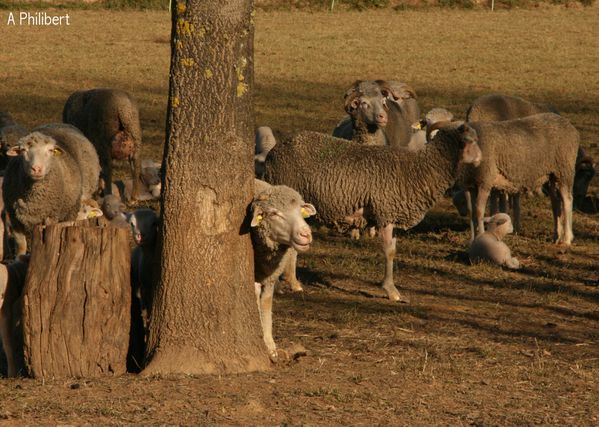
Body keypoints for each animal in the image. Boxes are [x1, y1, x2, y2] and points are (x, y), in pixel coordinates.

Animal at [2, 124, 101, 258]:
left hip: (73, 207)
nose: (36, 169)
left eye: (50, 150)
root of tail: (62, 125)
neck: (33, 198)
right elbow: (21, 245)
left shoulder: (50, 217)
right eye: (23, 150)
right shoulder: (14, 217)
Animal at [252, 179, 318, 362]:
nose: (306, 234)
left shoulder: (269, 277)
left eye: (300, 210)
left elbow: (266, 305)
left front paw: (270, 346)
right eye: (274, 213)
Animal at [264, 125, 486, 302]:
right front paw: (391, 290)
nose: (481, 160)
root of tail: (274, 151)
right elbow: (388, 251)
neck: (421, 168)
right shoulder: (385, 211)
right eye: (470, 141)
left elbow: (393, 250)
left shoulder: (391, 213)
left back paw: (293, 282)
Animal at [460, 112, 580, 246]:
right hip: (551, 175)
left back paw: (567, 238)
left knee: (567, 200)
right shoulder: (468, 184)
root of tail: (570, 126)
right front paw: (472, 240)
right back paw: (556, 236)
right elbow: (471, 211)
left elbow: (479, 211)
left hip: (564, 169)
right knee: (556, 203)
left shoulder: (484, 181)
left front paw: (480, 238)